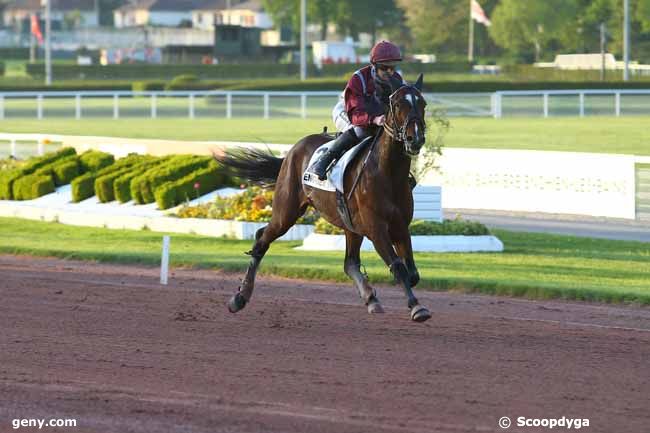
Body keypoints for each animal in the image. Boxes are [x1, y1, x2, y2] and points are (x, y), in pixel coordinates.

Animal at [216, 76, 430, 322]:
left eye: (422, 103)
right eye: (397, 104)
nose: (415, 139)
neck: (388, 173)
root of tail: (292, 151)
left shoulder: (400, 226)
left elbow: (412, 272)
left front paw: (409, 301)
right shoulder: (376, 229)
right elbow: (399, 267)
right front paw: (416, 307)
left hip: (350, 224)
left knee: (349, 263)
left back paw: (370, 298)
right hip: (286, 211)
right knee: (261, 240)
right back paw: (239, 297)